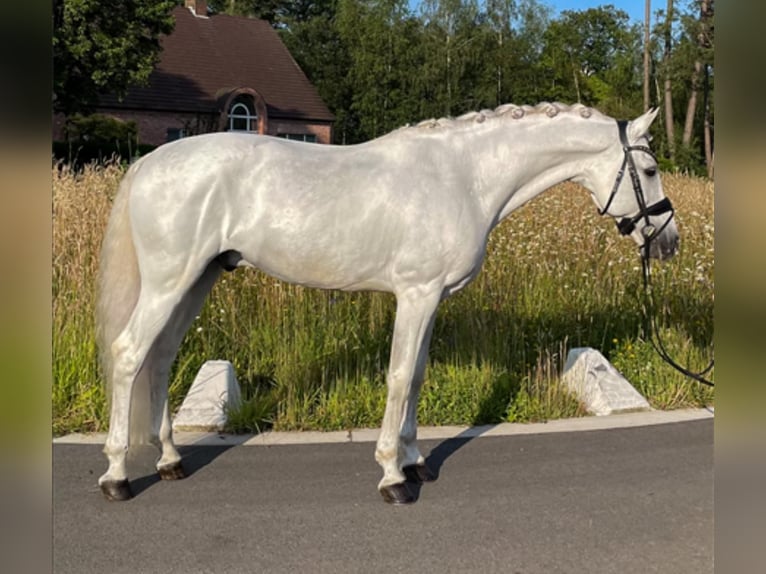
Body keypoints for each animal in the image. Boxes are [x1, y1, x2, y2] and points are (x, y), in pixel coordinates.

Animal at [96, 102, 680, 504]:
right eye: (650, 171)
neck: (464, 176)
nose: (669, 241)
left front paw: (417, 461)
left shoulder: (434, 298)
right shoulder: (416, 294)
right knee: (130, 353)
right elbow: (399, 377)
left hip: (198, 279)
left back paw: (170, 461)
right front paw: (393, 476)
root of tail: (150, 162)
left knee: (161, 357)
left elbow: (417, 375)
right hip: (171, 280)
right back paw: (117, 476)